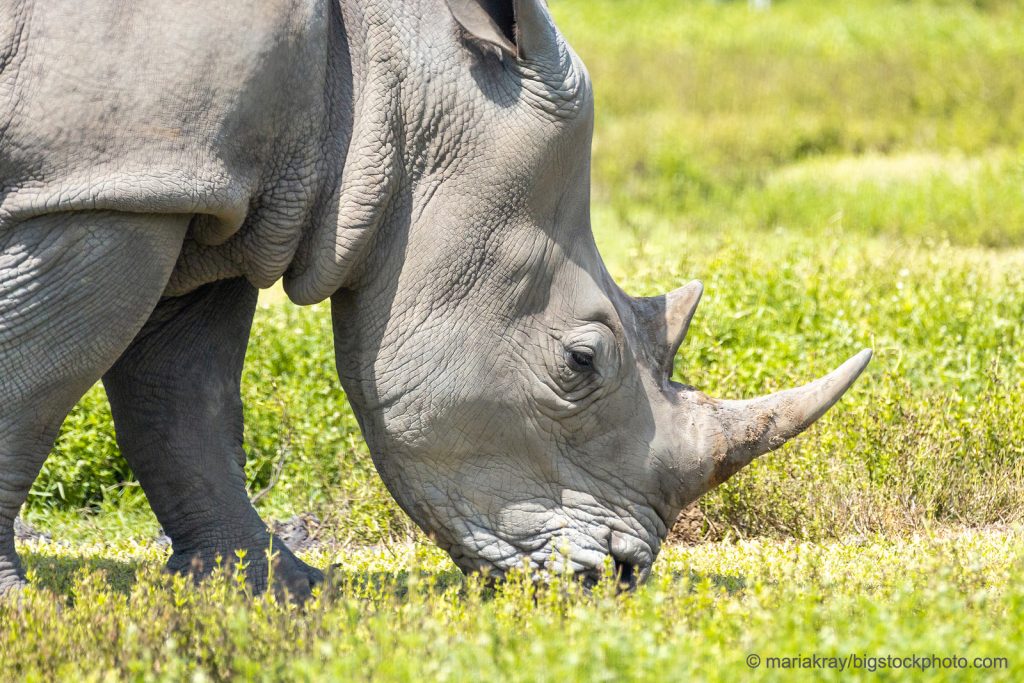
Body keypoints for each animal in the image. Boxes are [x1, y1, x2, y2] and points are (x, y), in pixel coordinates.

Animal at [0, 0, 870, 597]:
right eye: (580, 360)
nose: (620, 577)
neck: (390, 72)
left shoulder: (201, 182)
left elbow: (187, 400)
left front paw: (281, 591)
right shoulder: (109, 184)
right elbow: (38, 383)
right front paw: (23, 607)